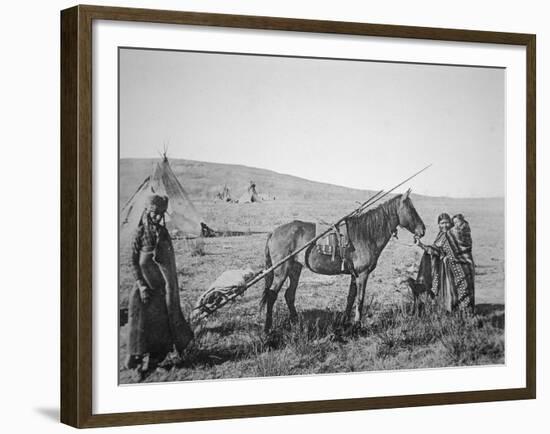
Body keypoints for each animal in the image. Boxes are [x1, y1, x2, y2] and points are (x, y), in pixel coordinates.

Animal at [262, 190, 426, 332]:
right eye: (411, 209)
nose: (423, 230)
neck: (366, 234)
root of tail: (274, 232)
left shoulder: (355, 275)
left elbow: (350, 298)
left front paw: (345, 321)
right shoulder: (363, 274)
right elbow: (360, 299)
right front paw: (357, 324)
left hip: (295, 269)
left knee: (289, 295)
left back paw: (296, 322)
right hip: (282, 270)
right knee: (272, 295)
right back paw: (268, 328)